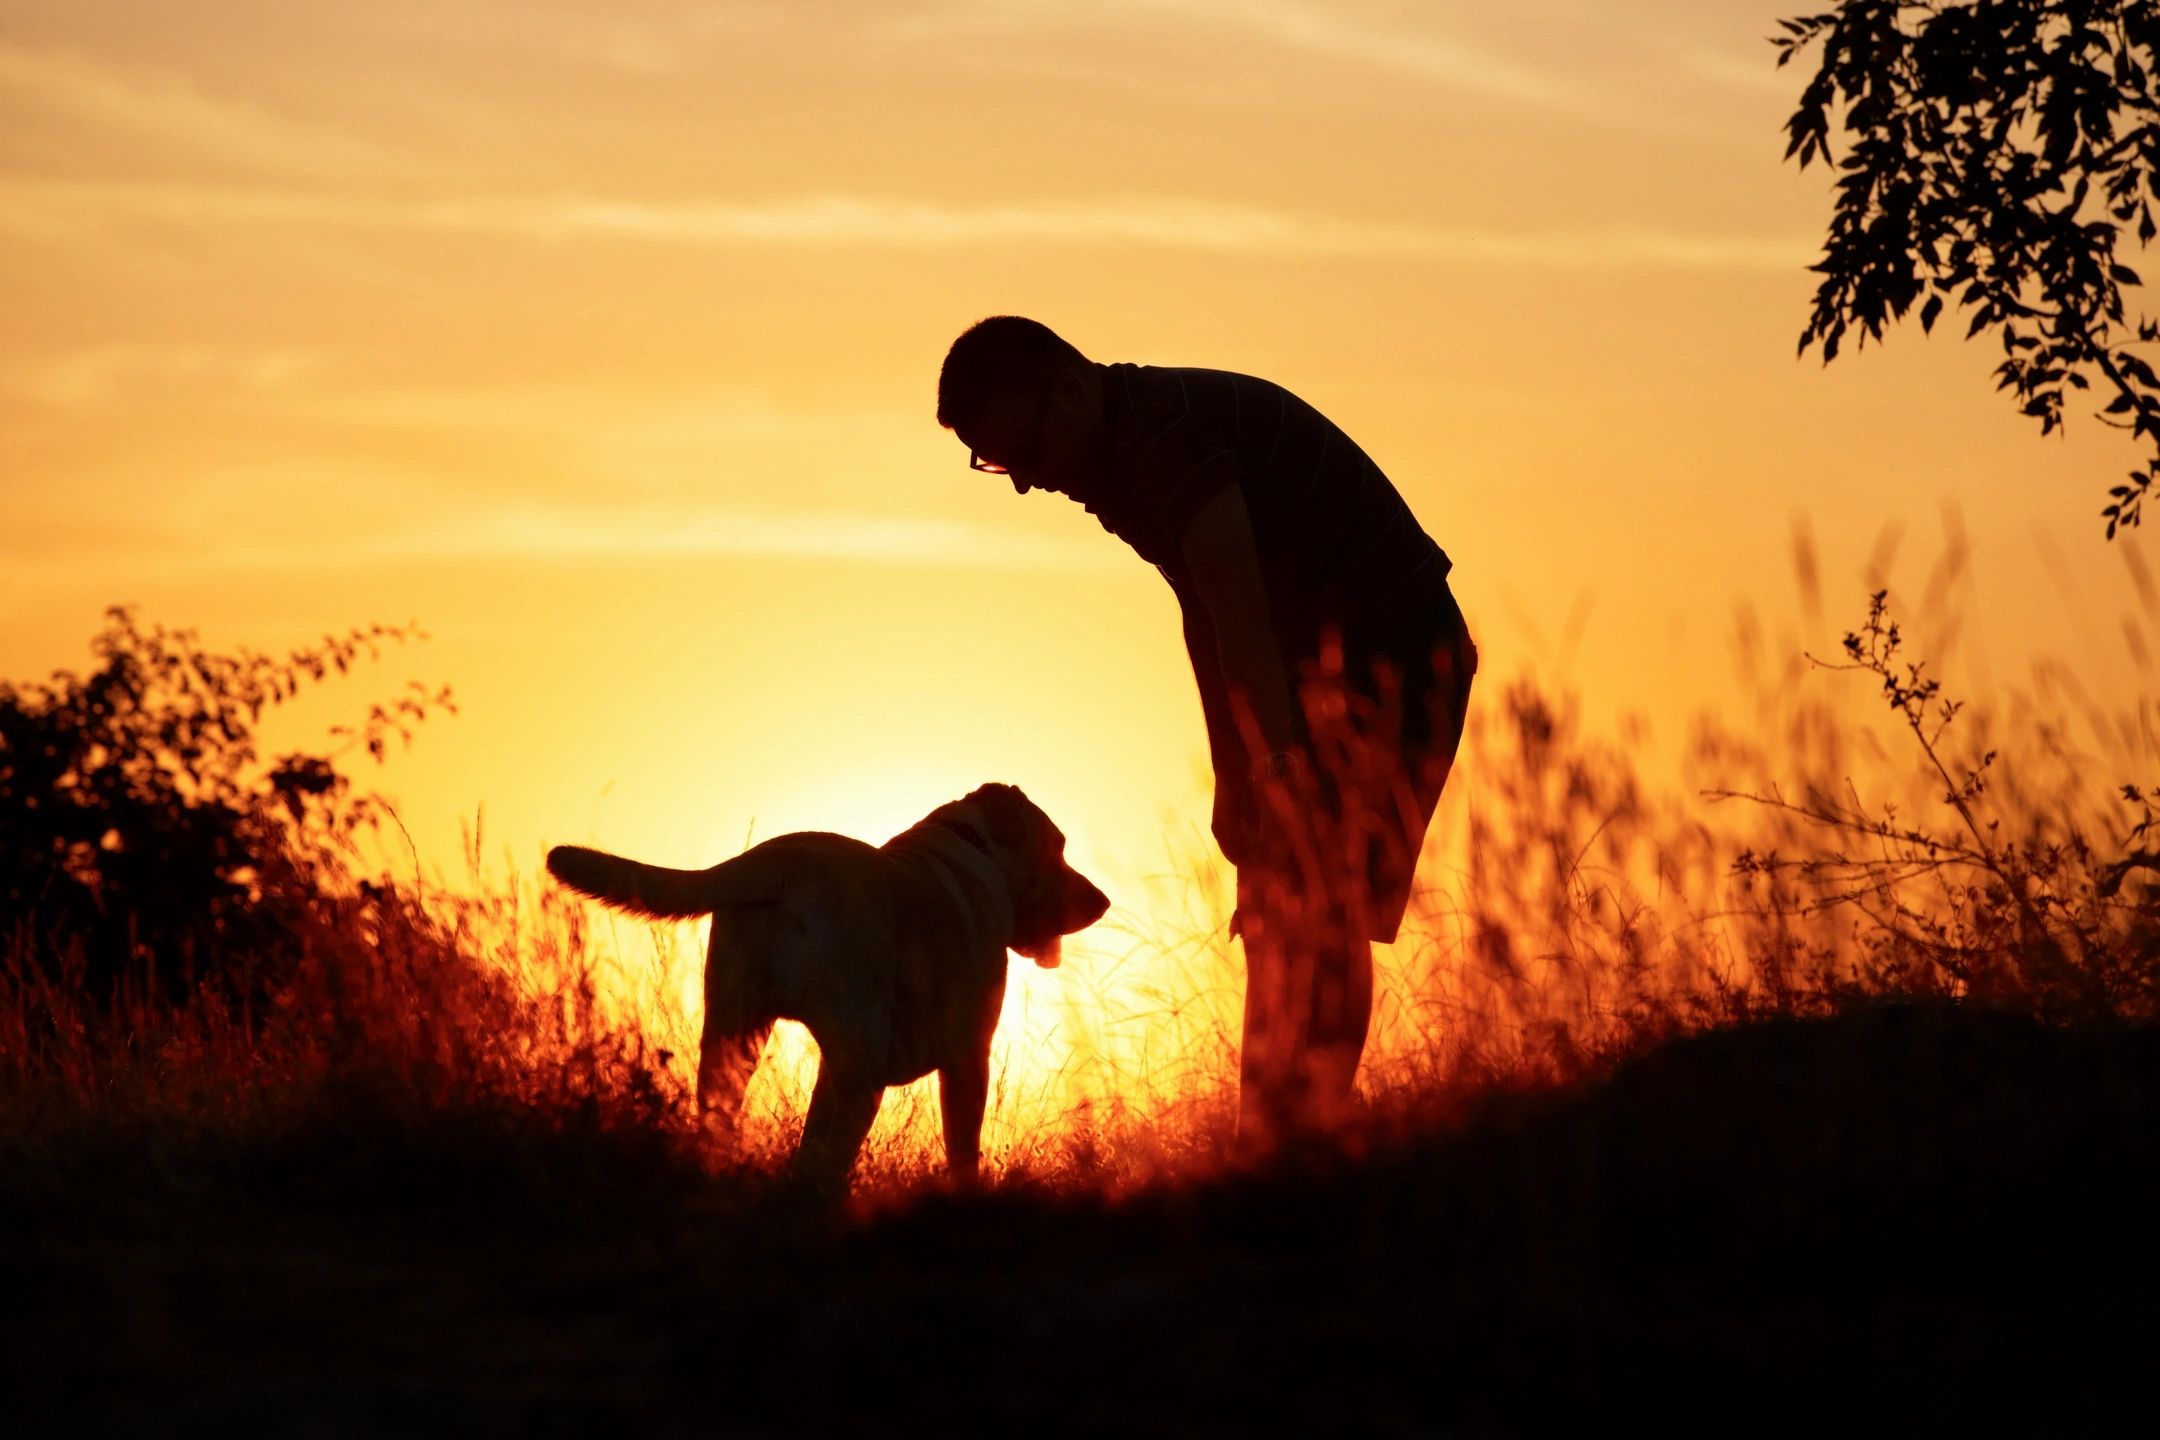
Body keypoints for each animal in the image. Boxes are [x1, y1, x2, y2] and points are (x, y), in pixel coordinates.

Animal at [540, 790, 1114, 1191]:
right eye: (1058, 847)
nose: (1103, 901)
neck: (975, 850)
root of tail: (785, 863)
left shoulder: (825, 1070)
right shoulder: (968, 1058)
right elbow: (963, 1152)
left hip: (732, 1034)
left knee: (733, 1127)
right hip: (862, 1061)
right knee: (831, 1159)